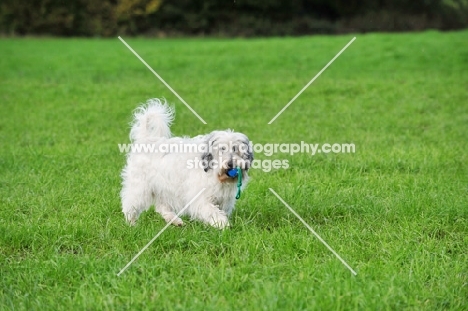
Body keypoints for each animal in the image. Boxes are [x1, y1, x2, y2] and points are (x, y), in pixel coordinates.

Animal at [119, 98, 254, 230]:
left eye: (236, 149)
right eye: (222, 149)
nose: (231, 164)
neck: (214, 175)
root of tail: (146, 140)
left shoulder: (224, 200)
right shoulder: (200, 197)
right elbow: (211, 211)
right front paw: (222, 223)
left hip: (163, 188)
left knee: (161, 207)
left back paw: (175, 221)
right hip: (140, 187)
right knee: (129, 203)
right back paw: (131, 223)